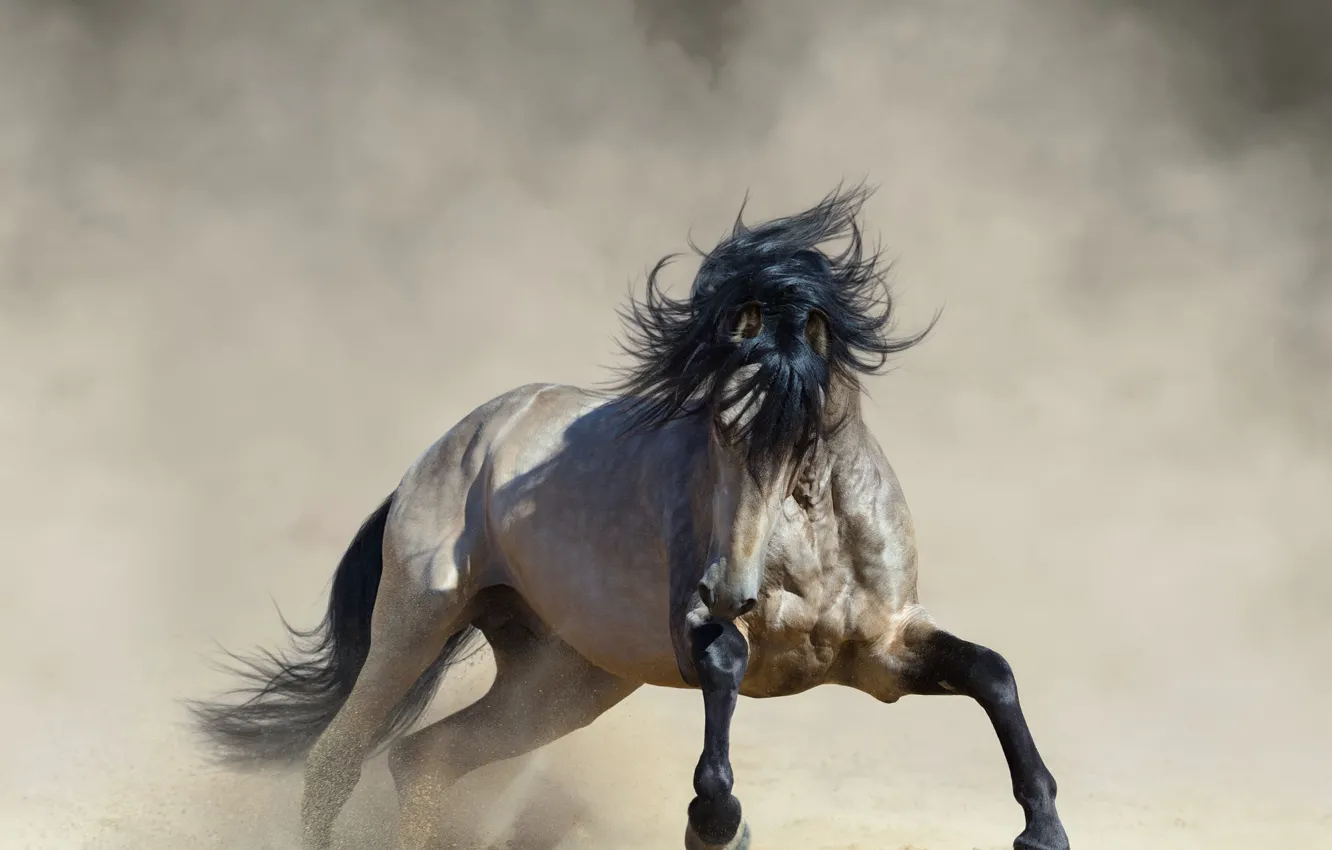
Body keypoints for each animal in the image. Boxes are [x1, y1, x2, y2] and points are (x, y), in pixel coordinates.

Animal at [190, 185, 1071, 850]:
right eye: (716, 424)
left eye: (802, 435)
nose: (730, 589)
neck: (816, 545)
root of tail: (446, 450)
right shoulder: (702, 630)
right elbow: (724, 669)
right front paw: (716, 823)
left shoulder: (882, 654)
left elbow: (992, 671)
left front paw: (1042, 829)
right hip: (418, 621)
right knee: (336, 760)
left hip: (565, 679)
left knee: (424, 759)